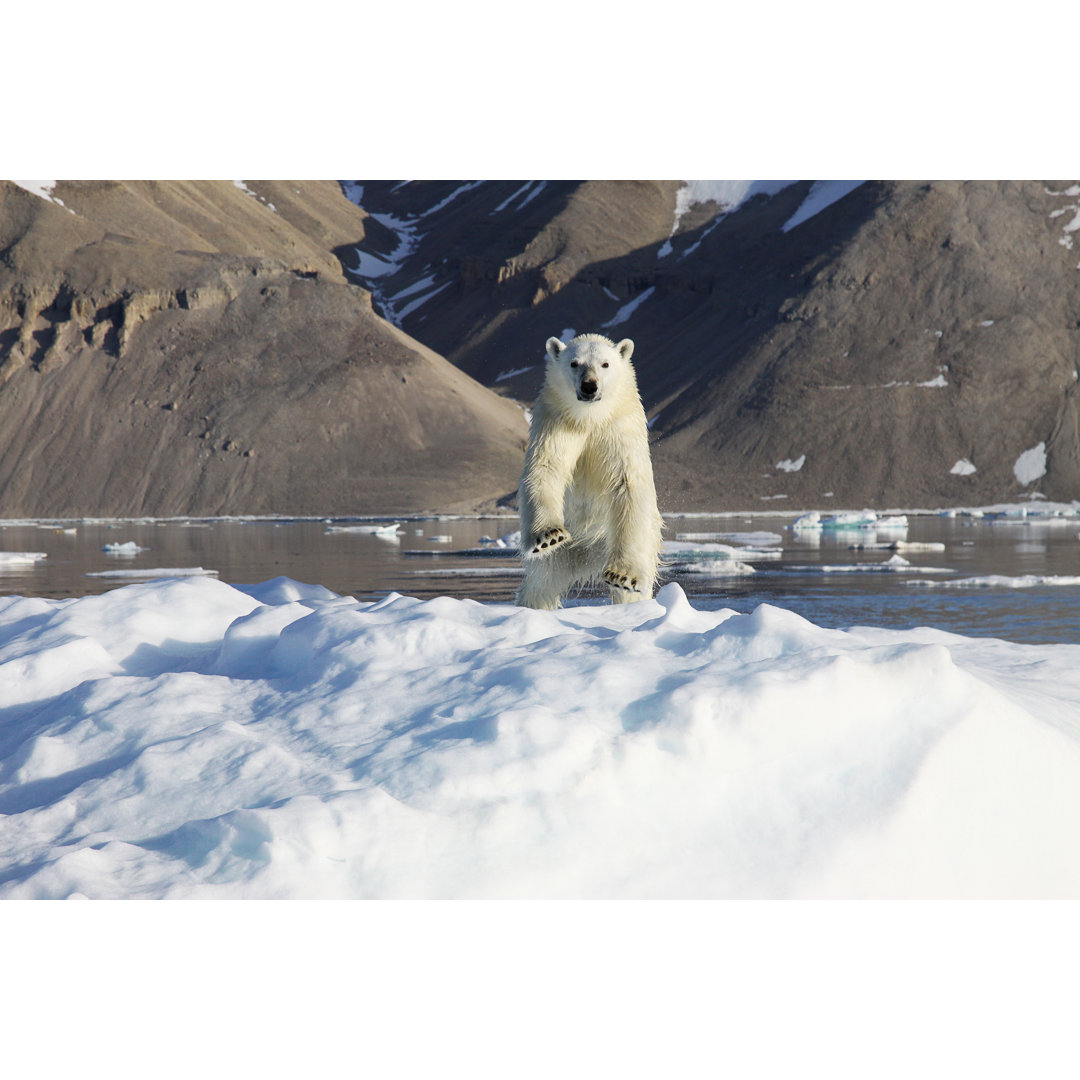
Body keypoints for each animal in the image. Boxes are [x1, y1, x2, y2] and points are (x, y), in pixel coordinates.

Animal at [511, 330, 656, 609]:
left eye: (605, 364)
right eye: (574, 363)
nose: (590, 386)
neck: (589, 418)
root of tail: (587, 554)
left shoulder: (619, 428)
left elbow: (628, 484)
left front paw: (622, 576)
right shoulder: (556, 421)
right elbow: (546, 469)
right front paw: (549, 535)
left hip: (608, 541)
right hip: (561, 556)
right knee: (541, 583)